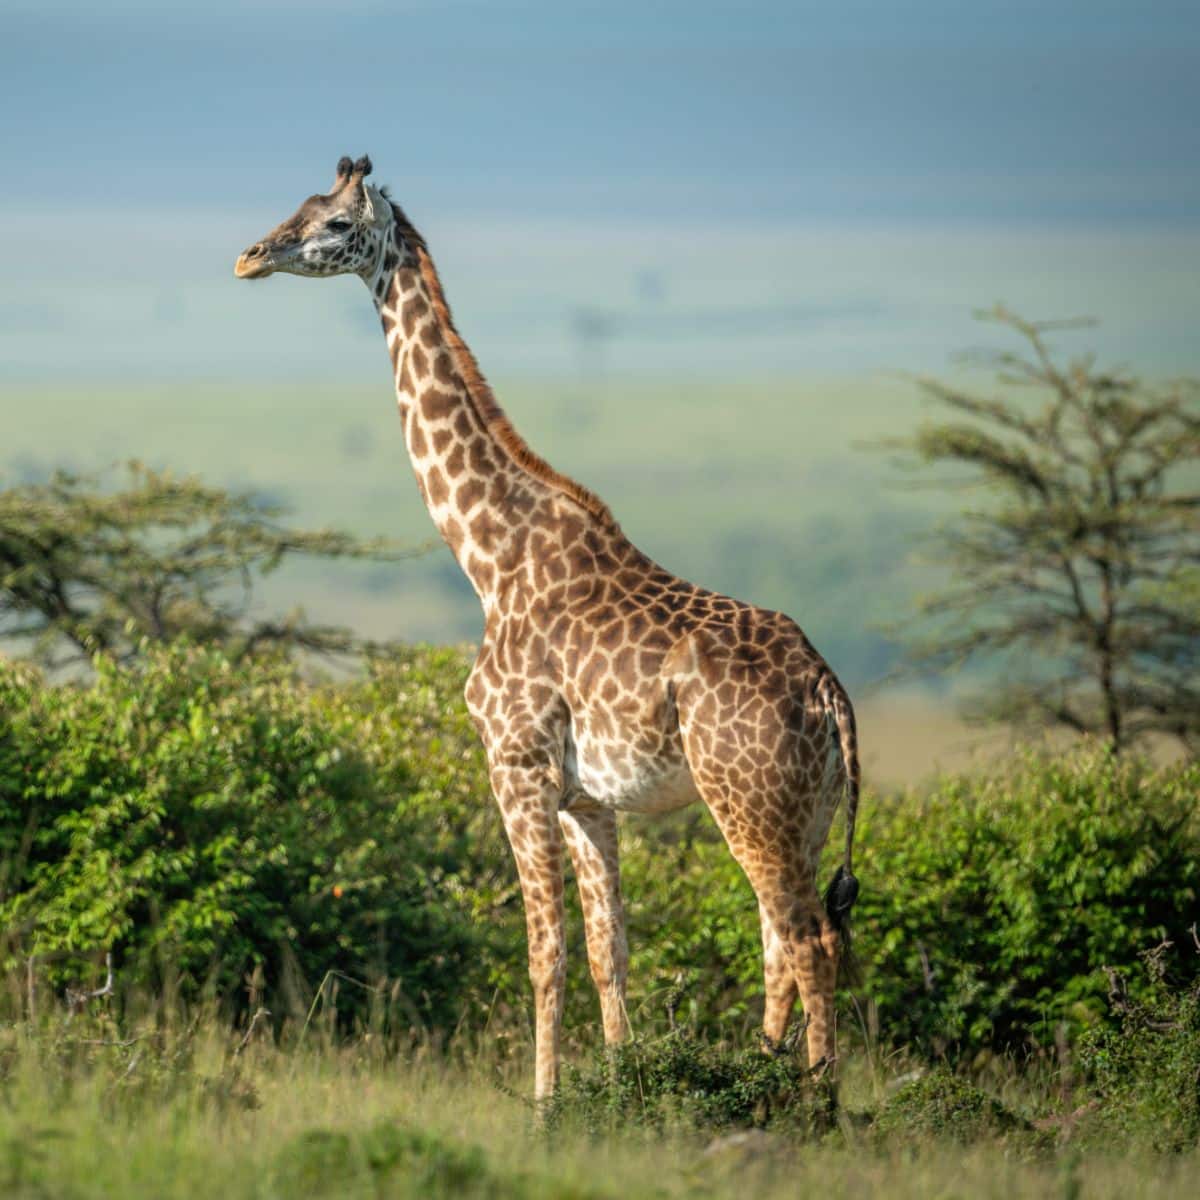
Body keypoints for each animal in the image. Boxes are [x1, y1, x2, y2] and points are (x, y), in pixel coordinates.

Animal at [235, 156, 862, 1101]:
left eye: (336, 224)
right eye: (299, 206)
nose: (249, 257)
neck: (489, 557)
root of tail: (830, 692)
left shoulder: (516, 765)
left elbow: (543, 952)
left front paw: (545, 1104)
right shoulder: (586, 799)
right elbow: (608, 952)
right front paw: (623, 1085)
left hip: (747, 799)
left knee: (808, 941)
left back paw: (816, 1103)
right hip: (804, 813)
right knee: (781, 942)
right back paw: (765, 1078)